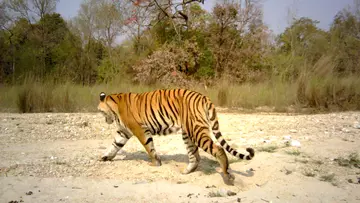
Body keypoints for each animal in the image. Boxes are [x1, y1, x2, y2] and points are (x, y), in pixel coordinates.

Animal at [97, 89, 255, 186]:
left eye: (100, 112)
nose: (105, 120)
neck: (115, 106)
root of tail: (203, 97)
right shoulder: (123, 132)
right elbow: (114, 145)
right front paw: (104, 158)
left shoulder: (139, 130)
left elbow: (149, 147)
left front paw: (155, 163)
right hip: (188, 133)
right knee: (195, 156)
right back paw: (186, 171)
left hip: (196, 131)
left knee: (218, 148)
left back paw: (227, 175)